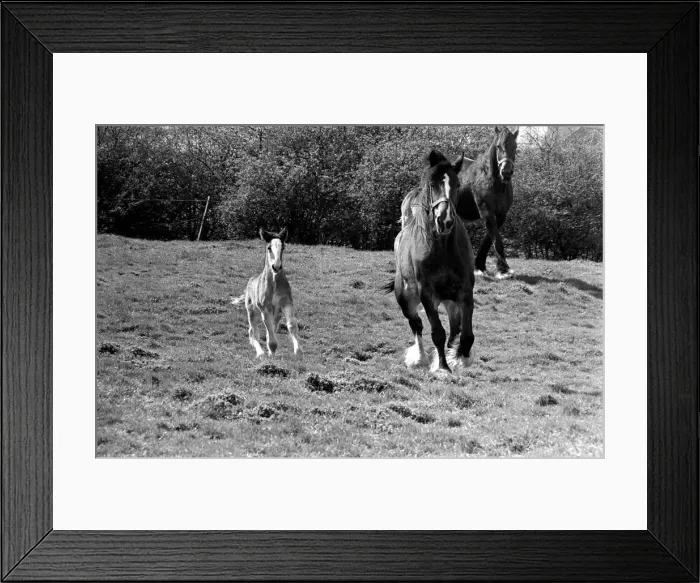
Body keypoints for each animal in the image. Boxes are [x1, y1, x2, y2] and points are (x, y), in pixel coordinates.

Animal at [231, 227, 302, 358]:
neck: (274, 284)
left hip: (277, 315)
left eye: (283, 247)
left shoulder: (286, 303)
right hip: (252, 313)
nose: (276, 267)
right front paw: (271, 351)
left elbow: (291, 324)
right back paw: (260, 353)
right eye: (269, 247)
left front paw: (298, 350)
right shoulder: (265, 308)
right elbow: (268, 328)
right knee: (253, 333)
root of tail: (249, 283)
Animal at [387, 149, 475, 374]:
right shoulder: (427, 293)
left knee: (454, 328)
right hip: (406, 299)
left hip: (450, 301)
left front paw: (459, 359)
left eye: (457, 184)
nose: (444, 220)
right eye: (432, 184)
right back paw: (419, 358)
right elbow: (437, 332)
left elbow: (466, 334)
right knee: (416, 324)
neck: (442, 249)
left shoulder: (464, 290)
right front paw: (442, 367)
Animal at [400, 126, 519, 279]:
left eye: (515, 147)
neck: (493, 181)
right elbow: (497, 240)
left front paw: (480, 266)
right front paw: (504, 270)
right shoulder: (487, 212)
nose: (506, 172)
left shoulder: (500, 215)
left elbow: (489, 239)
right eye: (498, 146)